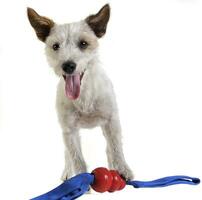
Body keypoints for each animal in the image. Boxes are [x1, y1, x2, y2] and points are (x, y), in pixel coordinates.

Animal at [27, 3, 134, 180]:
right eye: (55, 46)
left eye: (83, 43)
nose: (68, 66)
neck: (84, 95)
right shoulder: (69, 131)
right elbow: (76, 158)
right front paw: (82, 180)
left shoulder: (111, 121)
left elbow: (116, 148)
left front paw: (122, 169)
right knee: (67, 154)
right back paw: (67, 172)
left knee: (109, 148)